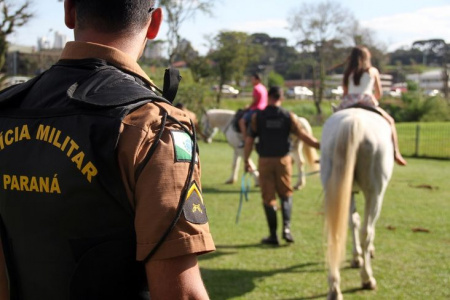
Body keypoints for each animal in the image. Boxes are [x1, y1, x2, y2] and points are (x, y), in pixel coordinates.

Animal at [320, 108, 394, 300]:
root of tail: (352, 121)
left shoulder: (349, 192)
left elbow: (352, 221)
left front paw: (356, 257)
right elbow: (363, 228)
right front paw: (363, 256)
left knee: (335, 232)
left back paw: (334, 287)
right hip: (375, 194)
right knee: (367, 232)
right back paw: (367, 278)